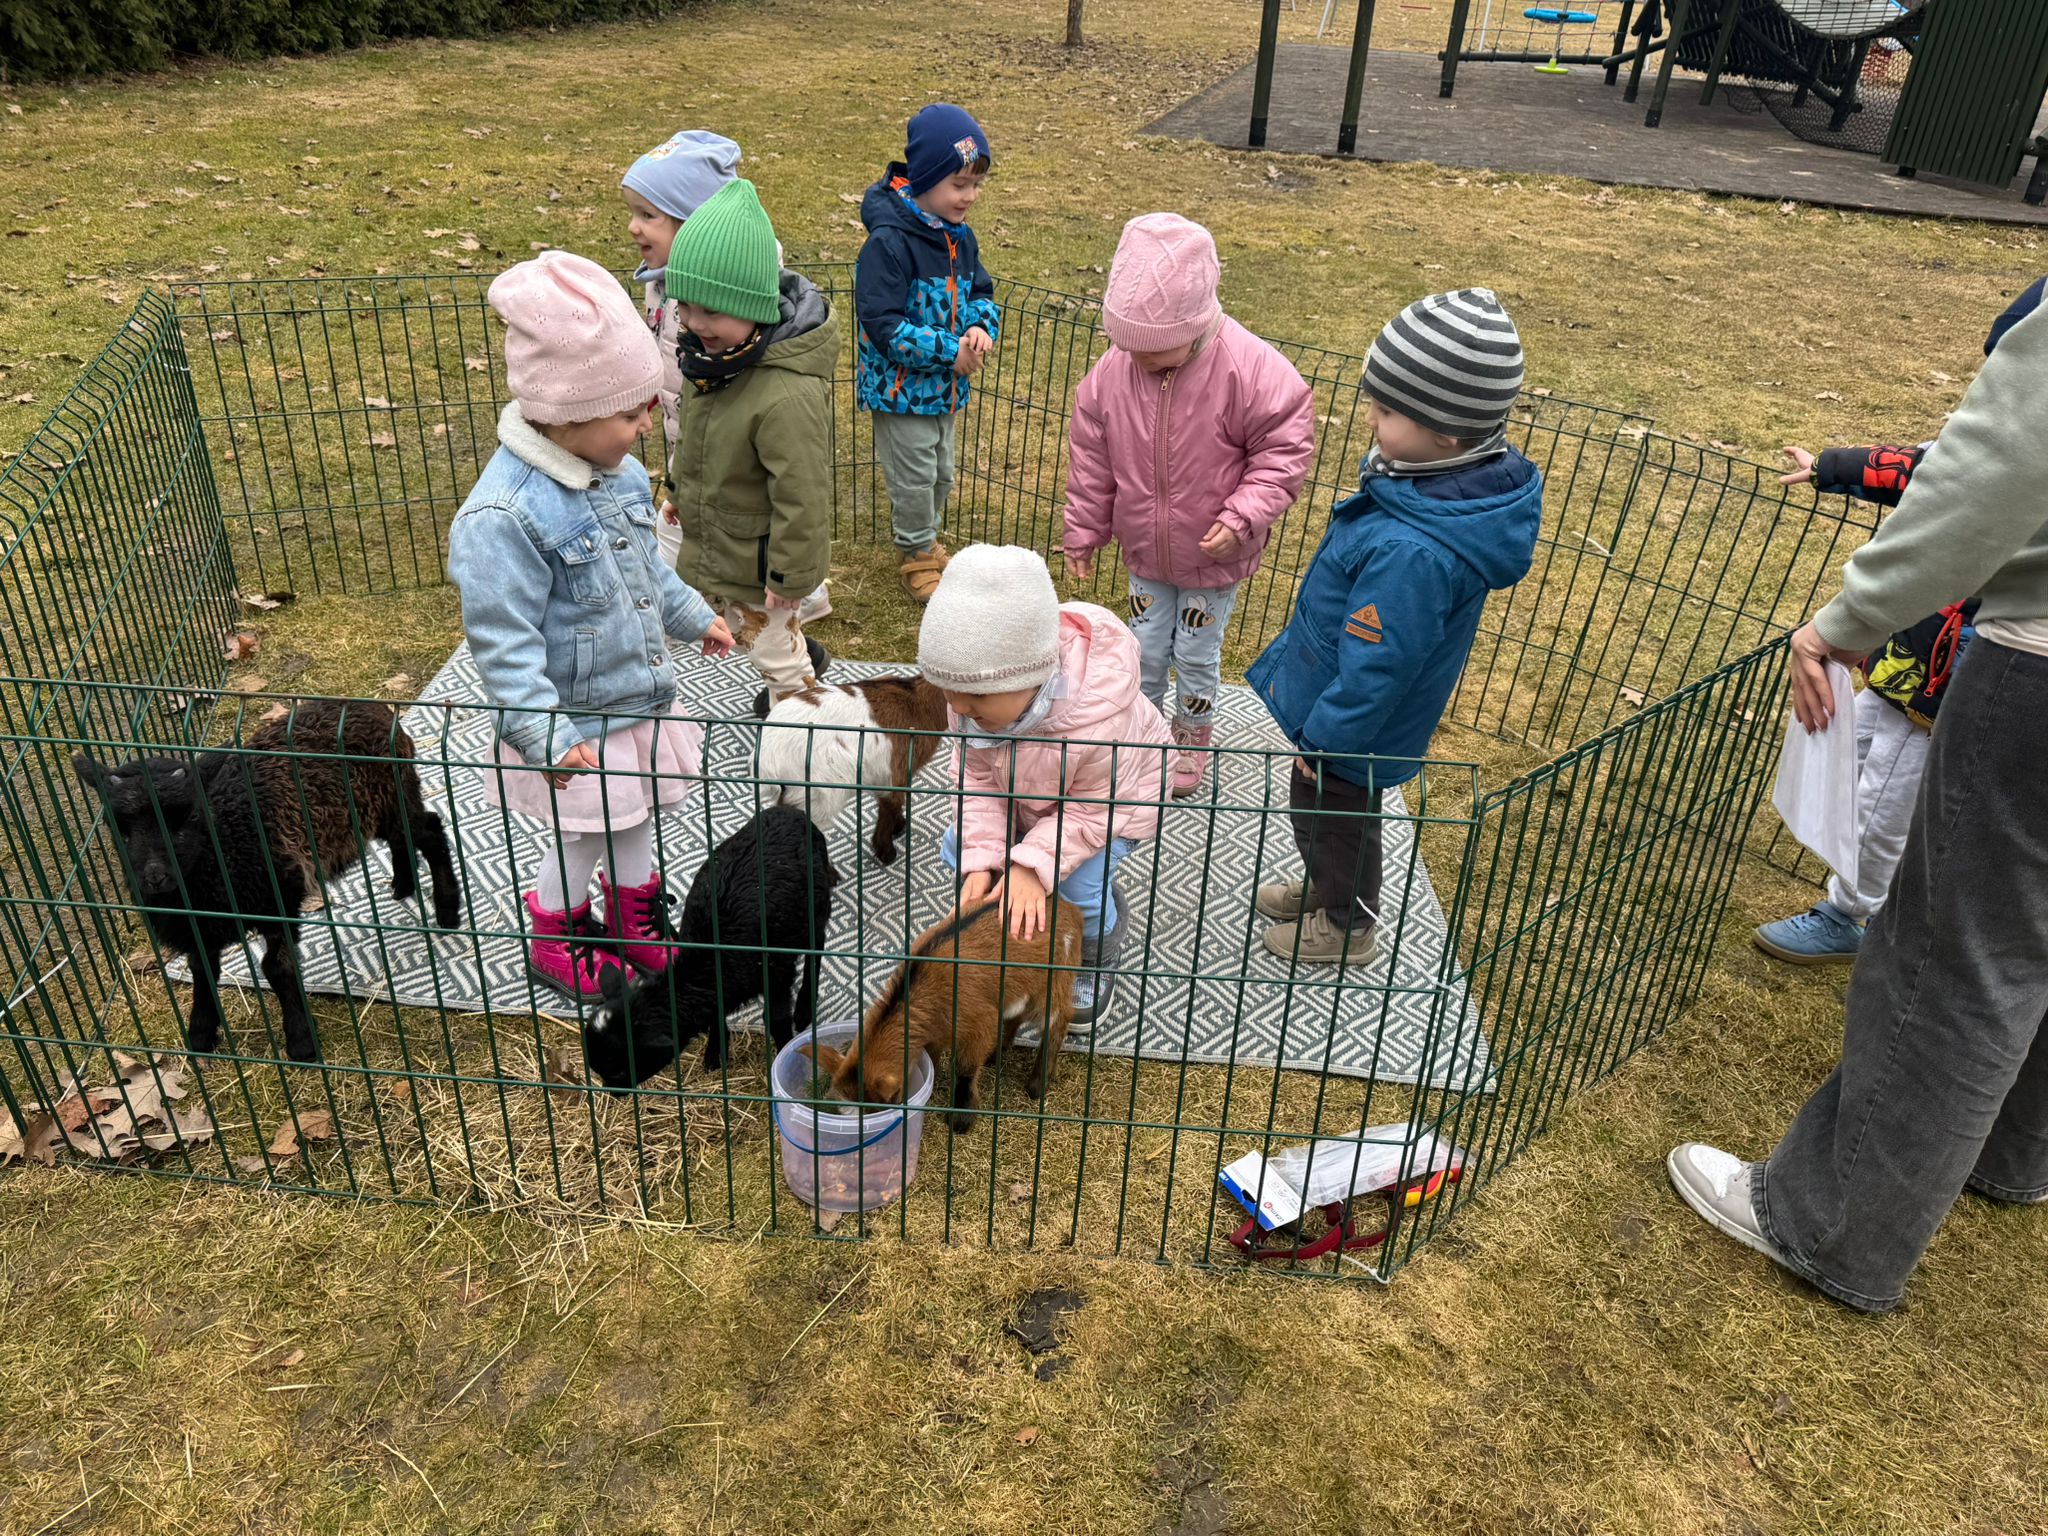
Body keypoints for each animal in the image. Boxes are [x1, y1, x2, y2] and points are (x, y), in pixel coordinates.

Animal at [73, 699, 462, 1062]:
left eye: (191, 816)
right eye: (115, 824)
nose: (155, 876)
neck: (222, 843)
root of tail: (373, 708)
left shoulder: (279, 897)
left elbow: (276, 967)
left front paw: (301, 1042)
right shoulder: (200, 927)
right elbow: (202, 971)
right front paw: (200, 1036)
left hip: (394, 795)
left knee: (430, 830)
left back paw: (447, 912)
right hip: (382, 806)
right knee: (403, 837)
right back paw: (404, 882)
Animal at [585, 805, 839, 1088]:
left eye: (620, 1070)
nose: (613, 1091)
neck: (710, 957)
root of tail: (792, 811)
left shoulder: (775, 971)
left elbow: (776, 1019)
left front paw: (784, 1055)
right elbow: (716, 1015)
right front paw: (715, 1053)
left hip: (814, 908)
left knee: (817, 945)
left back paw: (805, 1007)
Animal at [757, 675, 948, 865]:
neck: (916, 702)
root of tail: (767, 756)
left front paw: (898, 828)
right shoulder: (895, 772)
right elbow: (890, 805)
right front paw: (886, 852)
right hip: (813, 797)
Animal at [814, 895, 1079, 1133]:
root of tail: (1070, 909)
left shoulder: (979, 1023)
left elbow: (965, 1070)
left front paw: (961, 1118)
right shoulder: (935, 1030)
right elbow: (932, 1057)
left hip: (1055, 981)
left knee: (1058, 1022)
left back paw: (1037, 1084)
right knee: (1016, 1016)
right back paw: (997, 1054)